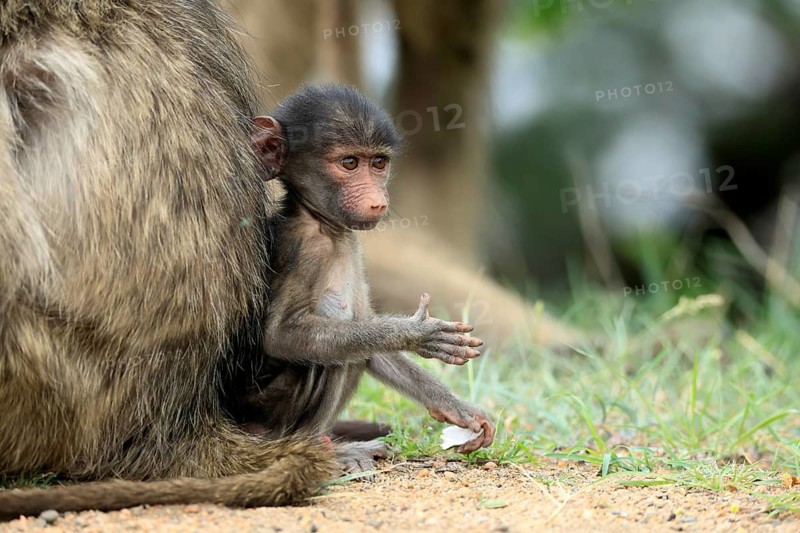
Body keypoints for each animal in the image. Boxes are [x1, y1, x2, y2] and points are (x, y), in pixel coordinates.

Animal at [238, 84, 495, 471]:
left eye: (378, 163)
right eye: (349, 163)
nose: (377, 200)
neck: (322, 224)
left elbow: (370, 335)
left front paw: (456, 408)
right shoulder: (304, 249)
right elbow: (280, 335)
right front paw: (416, 334)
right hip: (264, 415)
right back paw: (324, 449)